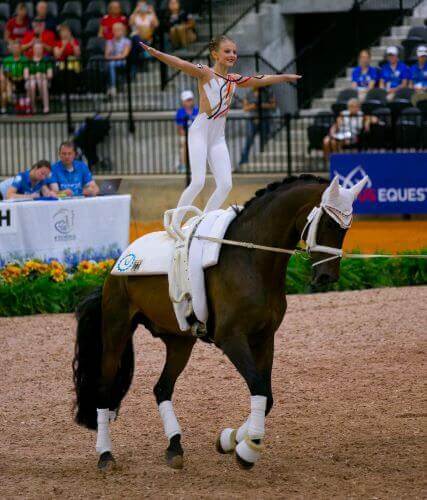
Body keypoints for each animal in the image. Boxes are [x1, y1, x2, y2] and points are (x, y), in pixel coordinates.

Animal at [72, 174, 368, 470]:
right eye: (329, 222)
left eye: (347, 226)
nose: (327, 277)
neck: (251, 259)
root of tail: (119, 262)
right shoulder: (231, 339)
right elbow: (259, 387)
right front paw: (246, 451)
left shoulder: (264, 338)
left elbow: (267, 395)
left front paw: (231, 440)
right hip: (117, 330)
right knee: (104, 389)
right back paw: (105, 455)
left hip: (179, 342)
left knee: (162, 388)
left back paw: (174, 446)